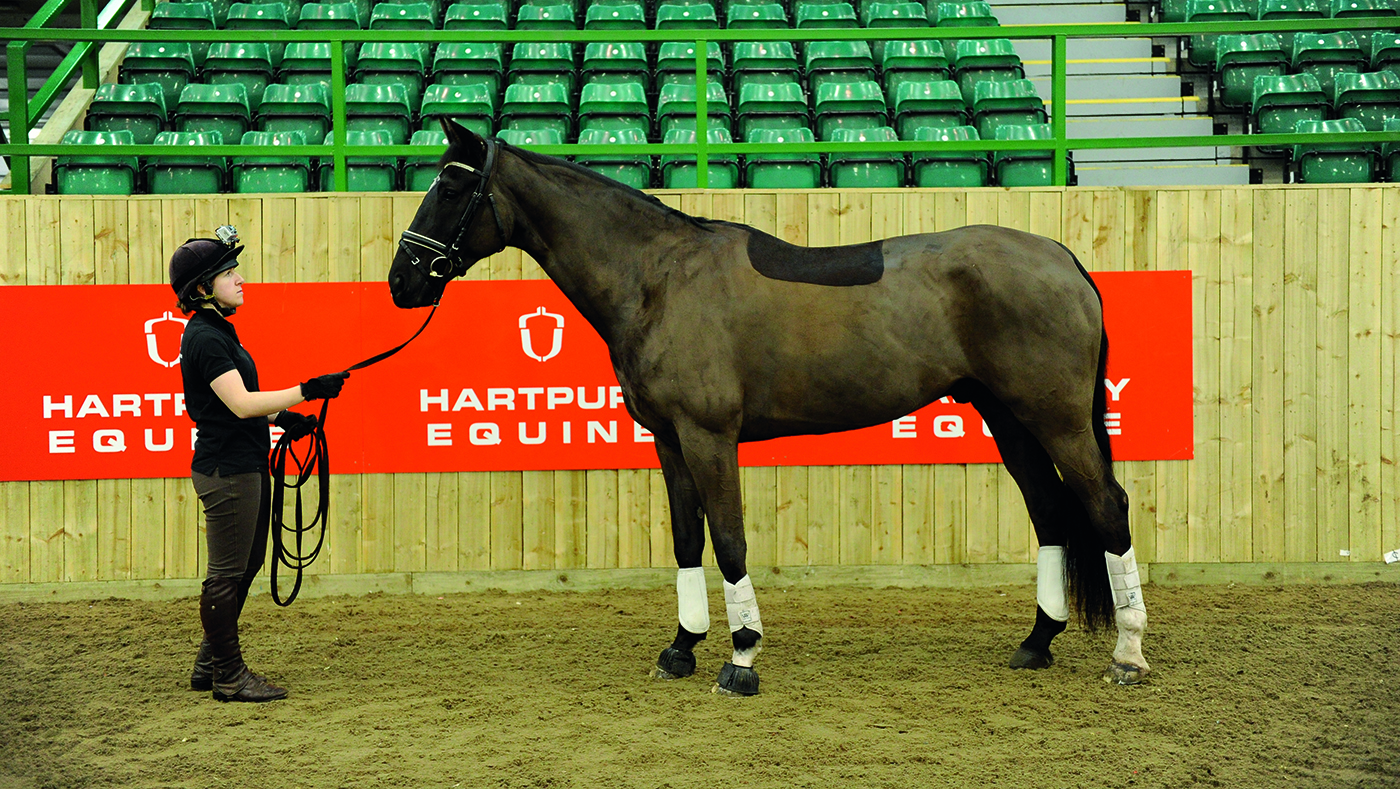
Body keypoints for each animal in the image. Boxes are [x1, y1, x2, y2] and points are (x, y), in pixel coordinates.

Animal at [387, 119, 1151, 695]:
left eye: (451, 185)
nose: (402, 281)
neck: (658, 278)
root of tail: (1062, 259)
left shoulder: (708, 436)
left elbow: (729, 540)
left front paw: (742, 657)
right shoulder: (669, 440)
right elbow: (687, 539)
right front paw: (680, 649)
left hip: (1054, 417)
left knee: (1106, 505)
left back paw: (1129, 654)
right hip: (1006, 417)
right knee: (1050, 512)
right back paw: (1037, 640)